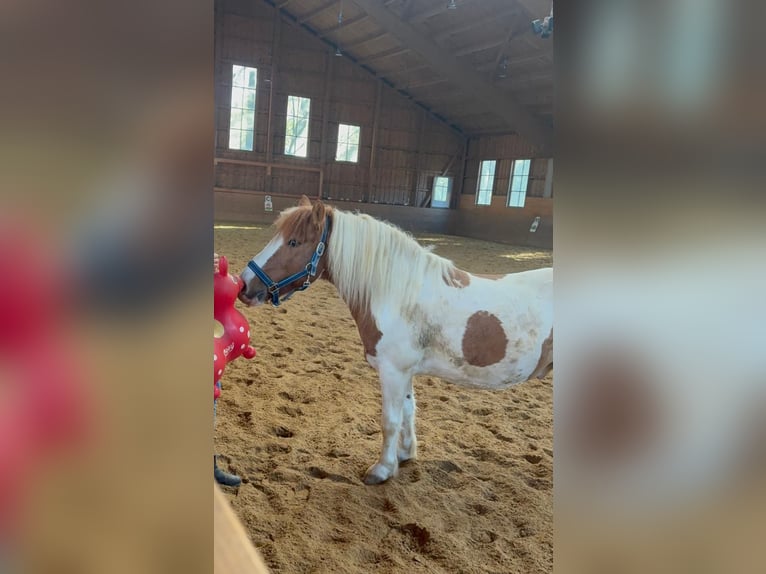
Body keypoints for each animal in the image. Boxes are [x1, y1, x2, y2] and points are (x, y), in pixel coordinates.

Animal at [239, 195, 553, 485]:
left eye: (293, 242)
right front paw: (405, 455)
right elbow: (408, 412)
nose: (244, 286)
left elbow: (390, 421)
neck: (399, 294)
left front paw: (382, 470)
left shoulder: (393, 371)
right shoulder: (406, 372)